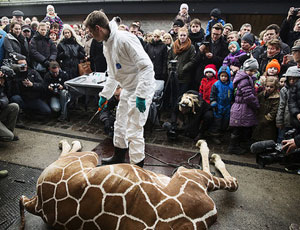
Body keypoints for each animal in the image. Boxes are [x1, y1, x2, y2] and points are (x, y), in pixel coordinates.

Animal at [19, 139, 238, 229]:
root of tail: (37, 204)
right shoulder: (190, 176)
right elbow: (231, 181)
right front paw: (208, 149)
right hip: (89, 157)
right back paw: (68, 142)